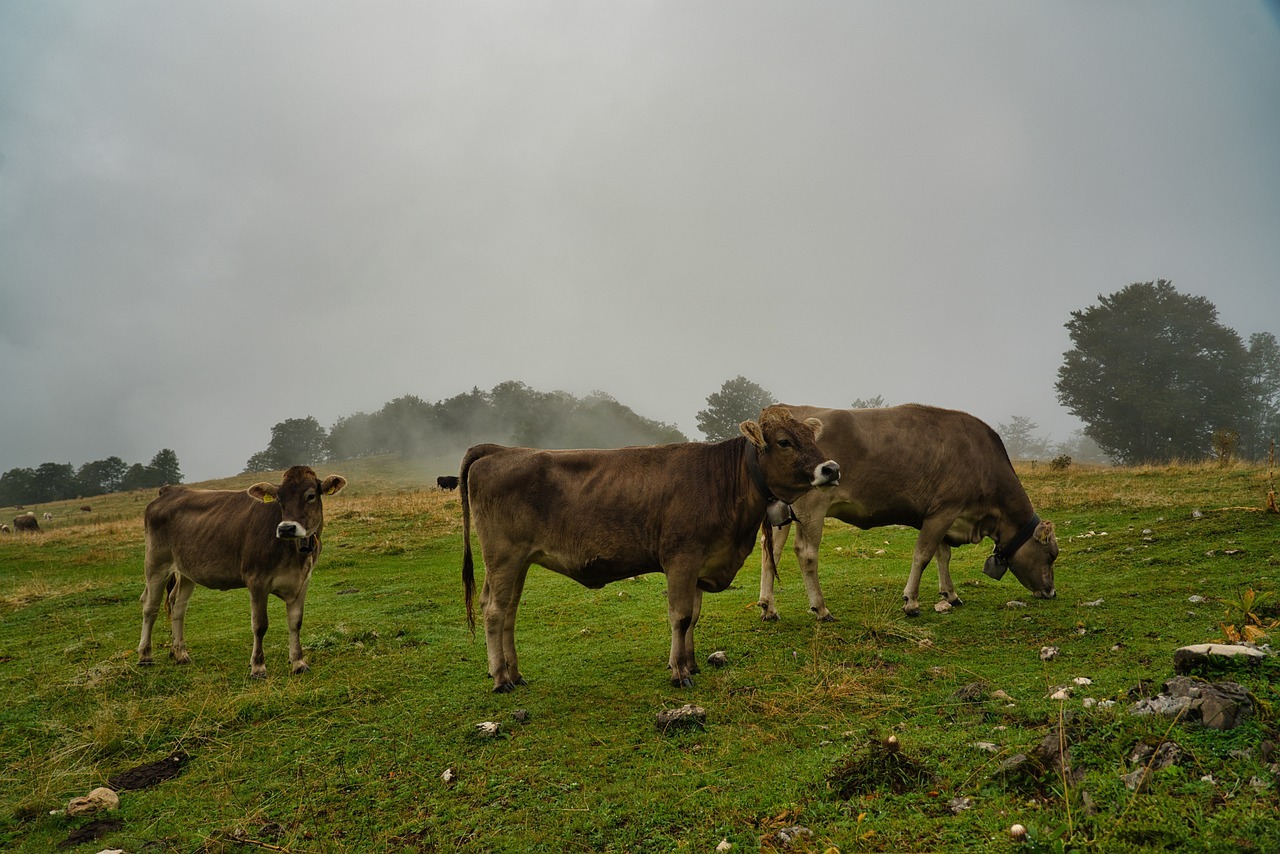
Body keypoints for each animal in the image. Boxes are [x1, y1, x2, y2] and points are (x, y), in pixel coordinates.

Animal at [138, 463, 348, 676]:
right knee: (150, 606)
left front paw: (298, 662)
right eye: (279, 498)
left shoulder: (302, 581)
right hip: (156, 563)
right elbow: (260, 624)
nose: (286, 528)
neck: (294, 553)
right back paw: (145, 655)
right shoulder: (257, 581)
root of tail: (169, 490)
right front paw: (258, 666)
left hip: (187, 570)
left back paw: (180, 653)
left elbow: (296, 622)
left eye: (311, 496)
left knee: (178, 605)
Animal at [460, 407, 839, 696]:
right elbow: (680, 616)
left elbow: (693, 617)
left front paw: (691, 664)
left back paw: (514, 672)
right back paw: (501, 678)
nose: (832, 469)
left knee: (508, 611)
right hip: (504, 557)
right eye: (784, 441)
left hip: (518, 562)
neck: (722, 483)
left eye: (812, 438)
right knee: (494, 611)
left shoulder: (700, 564)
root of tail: (500, 449)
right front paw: (678, 672)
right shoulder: (681, 559)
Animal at [757, 407, 1059, 622]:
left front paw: (950, 594)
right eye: (1051, 555)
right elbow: (923, 555)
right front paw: (911, 602)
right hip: (812, 508)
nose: (1051, 592)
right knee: (806, 553)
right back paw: (820, 608)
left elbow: (942, 555)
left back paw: (768, 607)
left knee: (771, 551)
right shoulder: (943, 511)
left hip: (784, 514)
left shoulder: (942, 516)